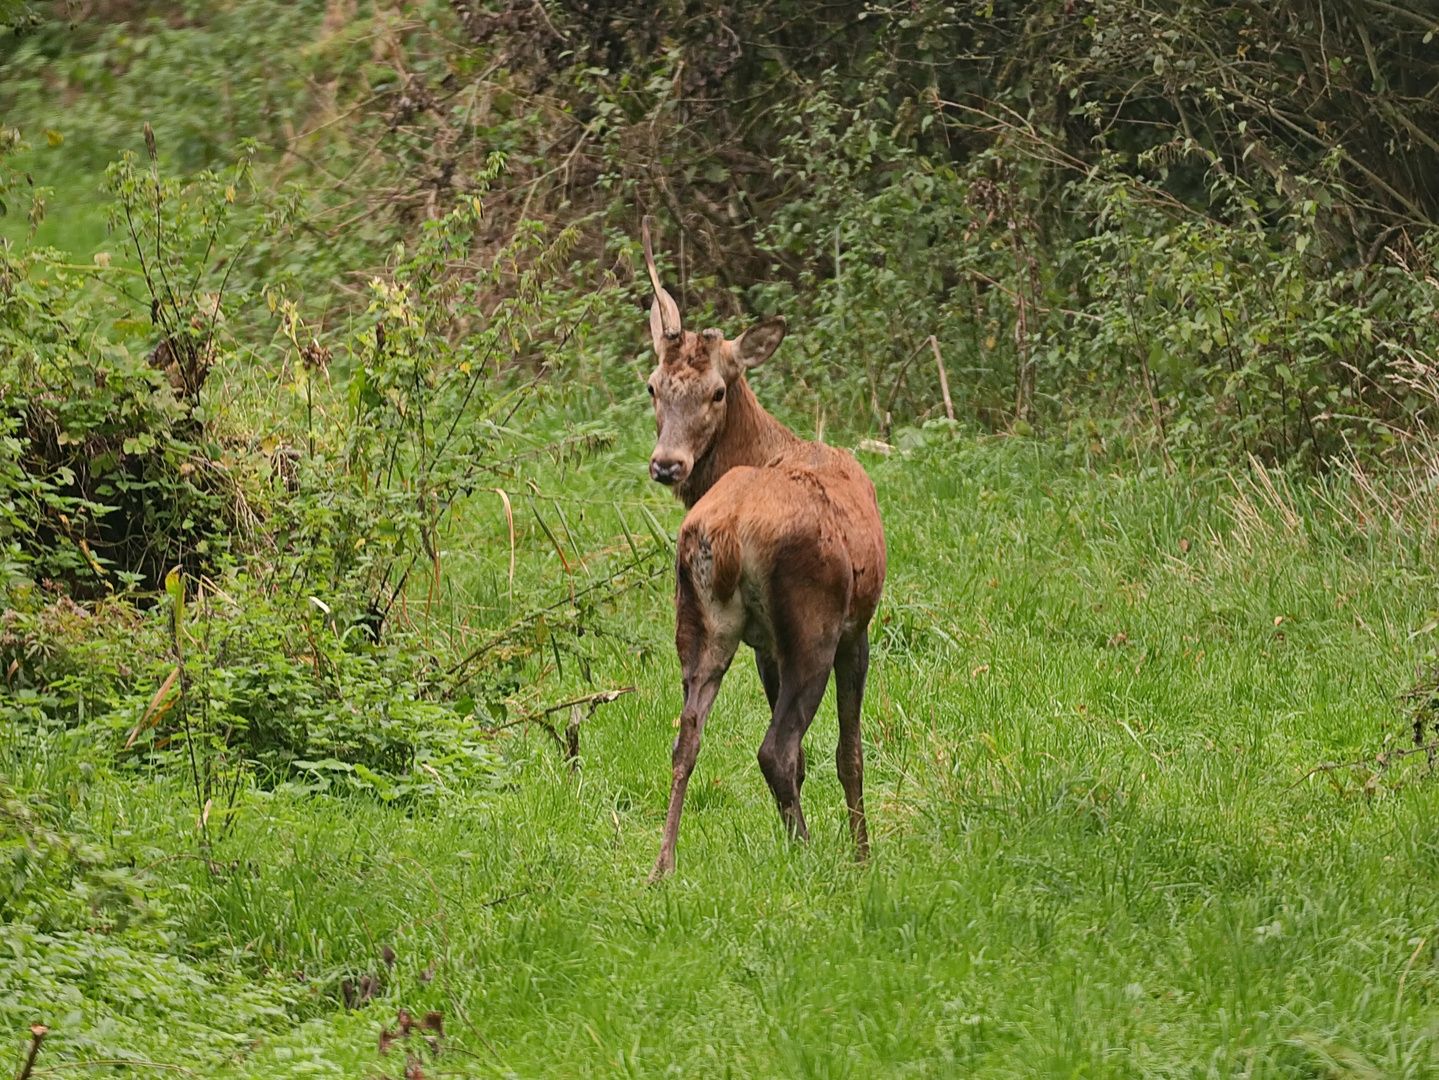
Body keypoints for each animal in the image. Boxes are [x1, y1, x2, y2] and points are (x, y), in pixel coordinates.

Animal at [641, 217, 886, 880]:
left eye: (717, 391)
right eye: (652, 387)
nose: (667, 465)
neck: (773, 442)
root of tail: (723, 532)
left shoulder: (762, 646)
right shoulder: (857, 628)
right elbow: (848, 752)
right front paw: (862, 855)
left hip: (700, 624)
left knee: (685, 738)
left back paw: (663, 866)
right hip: (812, 620)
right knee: (776, 747)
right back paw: (809, 856)